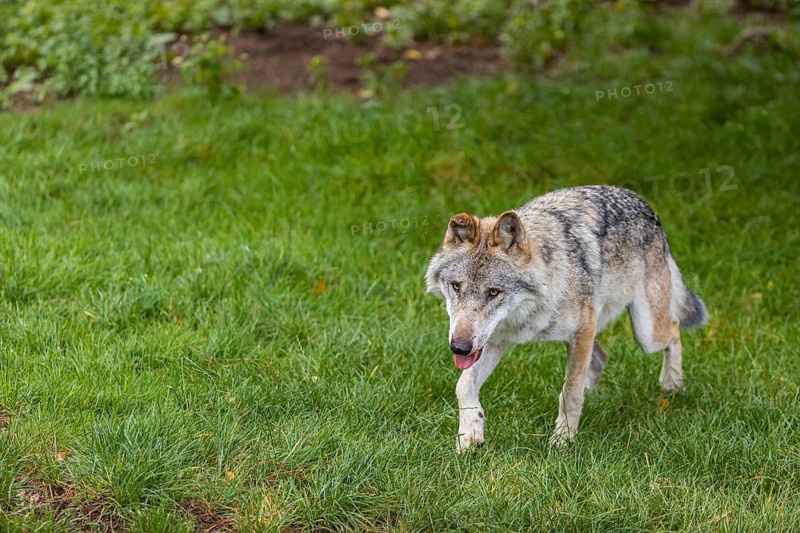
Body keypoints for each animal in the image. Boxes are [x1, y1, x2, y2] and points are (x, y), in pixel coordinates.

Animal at [425, 185, 707, 451]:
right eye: (456, 286)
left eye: (493, 292)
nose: (458, 347)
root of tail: (646, 205)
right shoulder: (496, 341)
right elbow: (463, 386)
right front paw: (469, 436)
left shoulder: (582, 330)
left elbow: (569, 392)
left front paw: (562, 441)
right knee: (602, 357)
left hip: (645, 334)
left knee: (674, 328)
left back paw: (672, 385)